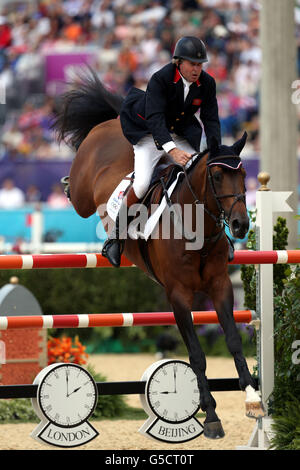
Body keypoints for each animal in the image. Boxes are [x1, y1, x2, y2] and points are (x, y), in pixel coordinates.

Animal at [52, 68, 264, 438]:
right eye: (217, 175)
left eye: (244, 174)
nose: (239, 225)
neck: (197, 230)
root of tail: (110, 122)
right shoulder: (178, 295)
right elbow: (196, 355)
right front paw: (210, 415)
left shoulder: (220, 286)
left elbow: (234, 340)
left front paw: (252, 396)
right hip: (83, 193)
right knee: (77, 193)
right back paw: (66, 186)